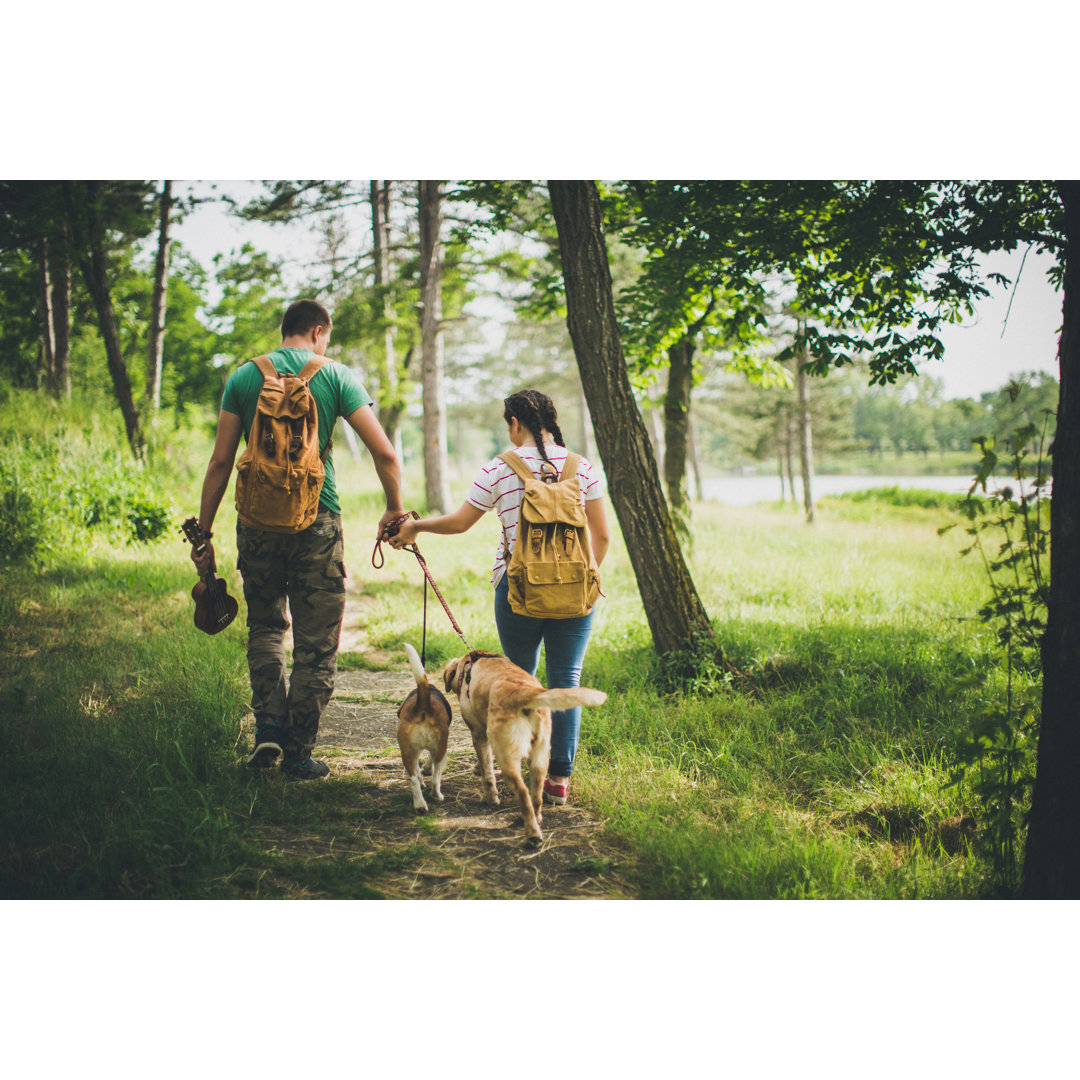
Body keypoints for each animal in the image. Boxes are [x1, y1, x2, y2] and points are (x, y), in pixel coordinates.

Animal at [440, 648, 609, 842]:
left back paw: (532, 834)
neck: (469, 666)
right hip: (540, 758)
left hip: (507, 758)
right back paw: (534, 819)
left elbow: (487, 773)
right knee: (536, 797)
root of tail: (523, 692)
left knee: (523, 793)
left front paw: (490, 797)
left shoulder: (478, 733)